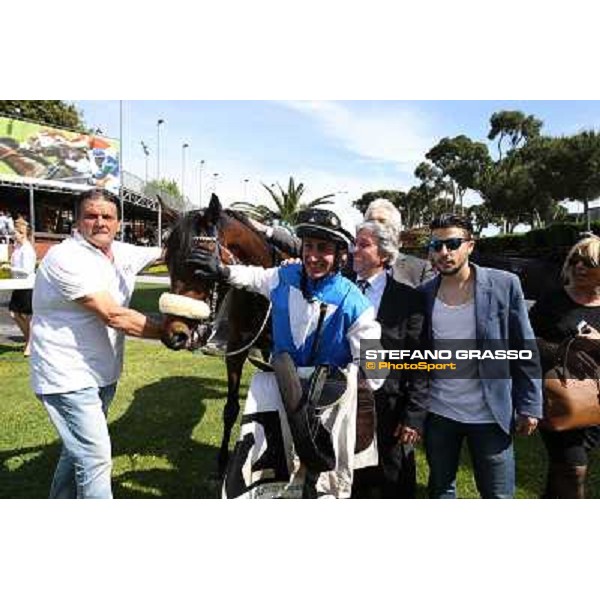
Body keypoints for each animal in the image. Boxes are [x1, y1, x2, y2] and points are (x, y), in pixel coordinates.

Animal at [161, 195, 284, 476]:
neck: (261, 292)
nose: (175, 335)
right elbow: (230, 409)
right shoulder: (237, 350)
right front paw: (221, 462)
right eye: (168, 263)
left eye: (200, 268)